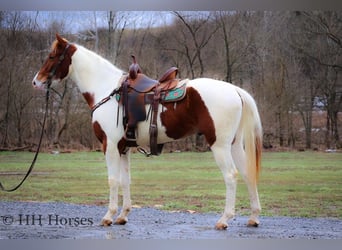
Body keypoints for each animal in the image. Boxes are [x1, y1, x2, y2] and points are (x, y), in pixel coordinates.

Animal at [32, 33, 262, 230]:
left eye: (52, 56)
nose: (36, 81)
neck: (106, 89)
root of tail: (234, 89)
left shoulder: (110, 146)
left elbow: (112, 179)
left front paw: (108, 216)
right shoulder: (124, 148)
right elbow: (125, 180)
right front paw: (123, 216)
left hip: (220, 146)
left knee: (231, 176)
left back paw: (224, 219)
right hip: (234, 146)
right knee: (247, 173)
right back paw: (253, 217)